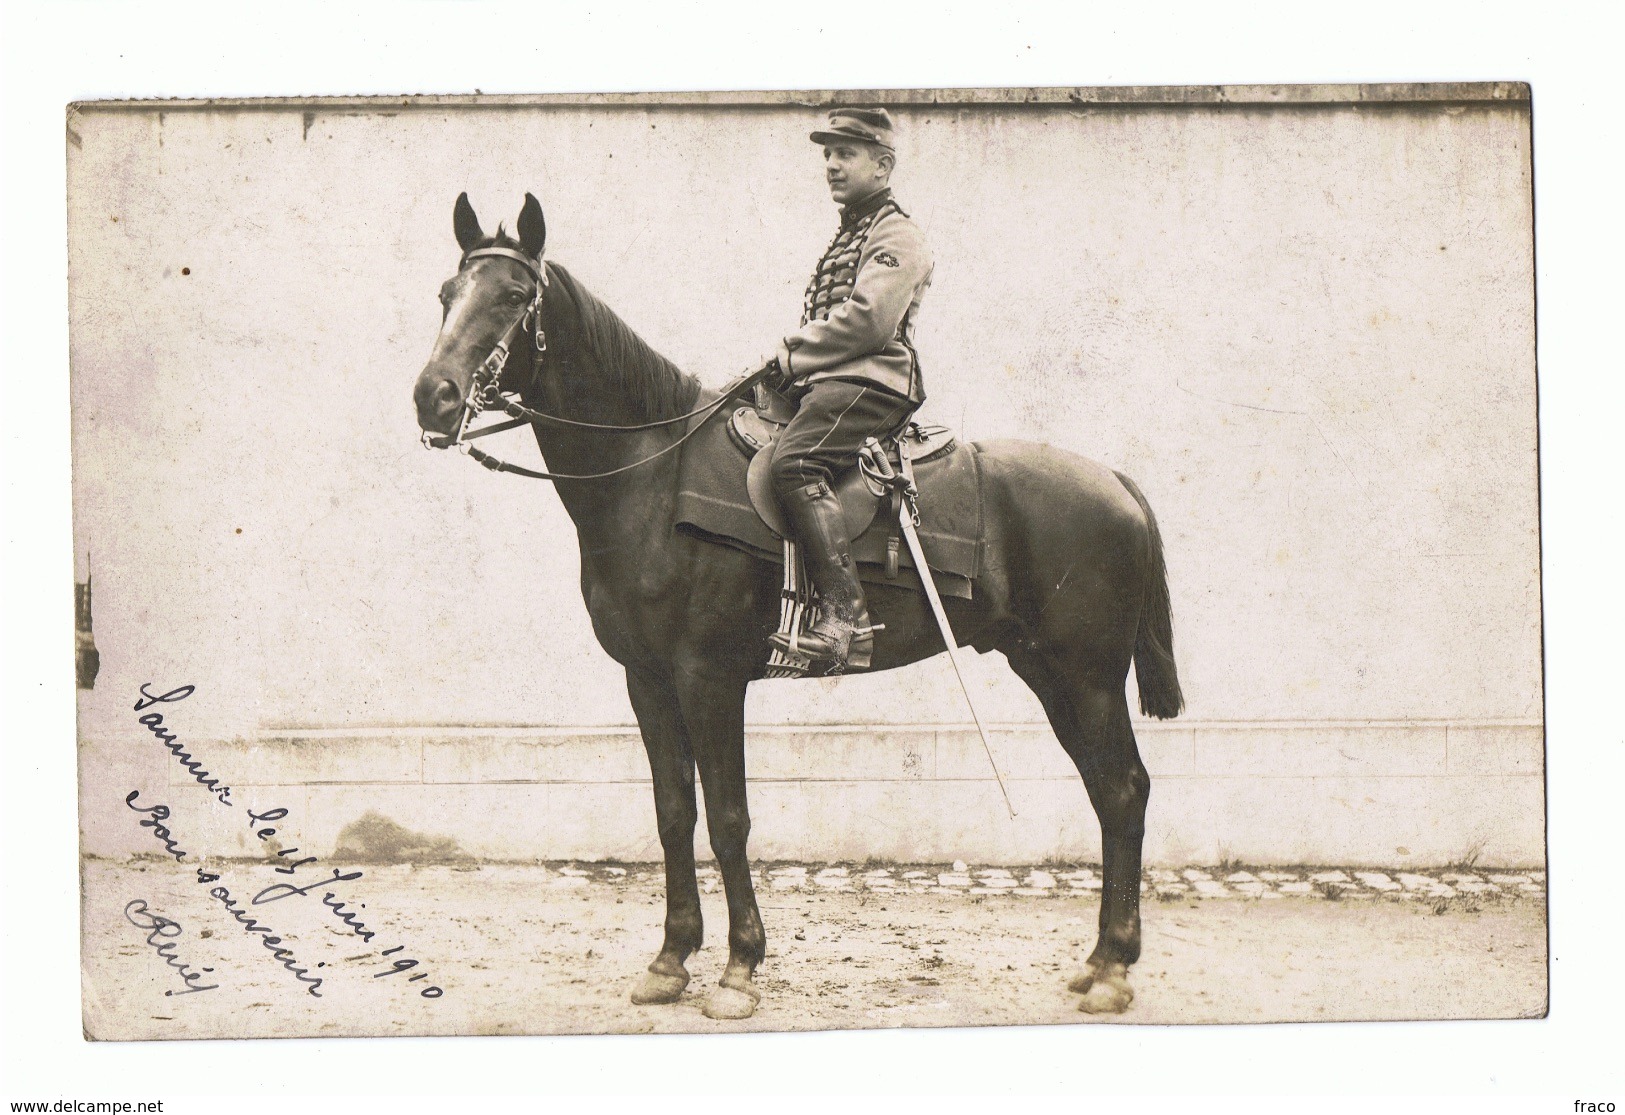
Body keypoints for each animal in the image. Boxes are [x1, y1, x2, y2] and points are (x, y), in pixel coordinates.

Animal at [416, 194, 1183, 1020]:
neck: (651, 476)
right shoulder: (647, 680)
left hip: (1087, 677)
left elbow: (728, 818)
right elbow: (672, 813)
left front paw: (738, 967)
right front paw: (670, 958)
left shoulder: (709, 679)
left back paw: (1113, 968)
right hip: (1048, 673)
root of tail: (1112, 479)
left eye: (512, 296)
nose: (433, 395)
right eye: (446, 293)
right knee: (1107, 792)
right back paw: (1099, 958)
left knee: (1123, 790)